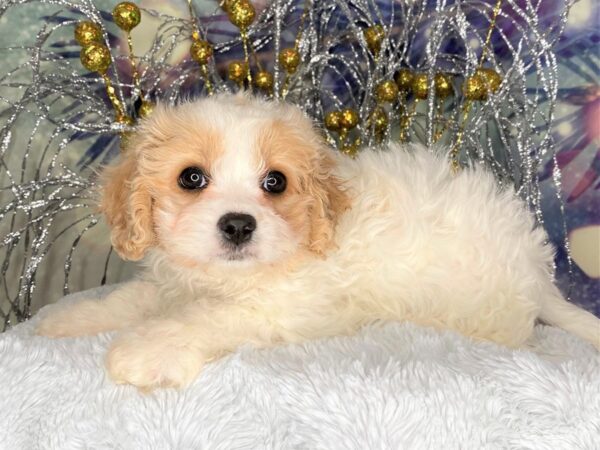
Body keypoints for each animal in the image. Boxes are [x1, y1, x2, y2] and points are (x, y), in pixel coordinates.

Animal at [37, 93, 600, 388]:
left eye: (275, 183)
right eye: (191, 178)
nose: (238, 225)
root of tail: (538, 274)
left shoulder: (284, 307)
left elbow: (204, 318)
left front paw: (144, 351)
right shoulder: (174, 282)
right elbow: (134, 298)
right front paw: (69, 321)